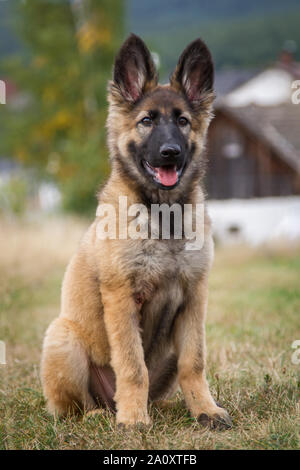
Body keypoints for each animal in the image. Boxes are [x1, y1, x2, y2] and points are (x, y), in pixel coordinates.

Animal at [40, 34, 232, 430]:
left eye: (183, 121)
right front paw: (132, 419)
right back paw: (104, 414)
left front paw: (205, 409)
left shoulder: (194, 297)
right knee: (71, 409)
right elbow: (132, 366)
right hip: (63, 337)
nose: (170, 152)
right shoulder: (121, 297)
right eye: (147, 121)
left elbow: (195, 362)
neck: (163, 214)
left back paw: (160, 408)